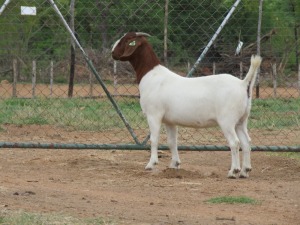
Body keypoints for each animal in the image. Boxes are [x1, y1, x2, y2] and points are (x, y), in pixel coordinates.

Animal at [111, 32, 262, 179]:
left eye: (125, 40)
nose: (113, 52)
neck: (152, 75)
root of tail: (242, 84)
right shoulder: (170, 121)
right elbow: (172, 142)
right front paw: (174, 164)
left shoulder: (154, 115)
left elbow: (154, 139)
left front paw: (151, 164)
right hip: (241, 120)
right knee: (246, 142)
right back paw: (245, 171)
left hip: (227, 120)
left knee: (234, 142)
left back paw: (233, 171)